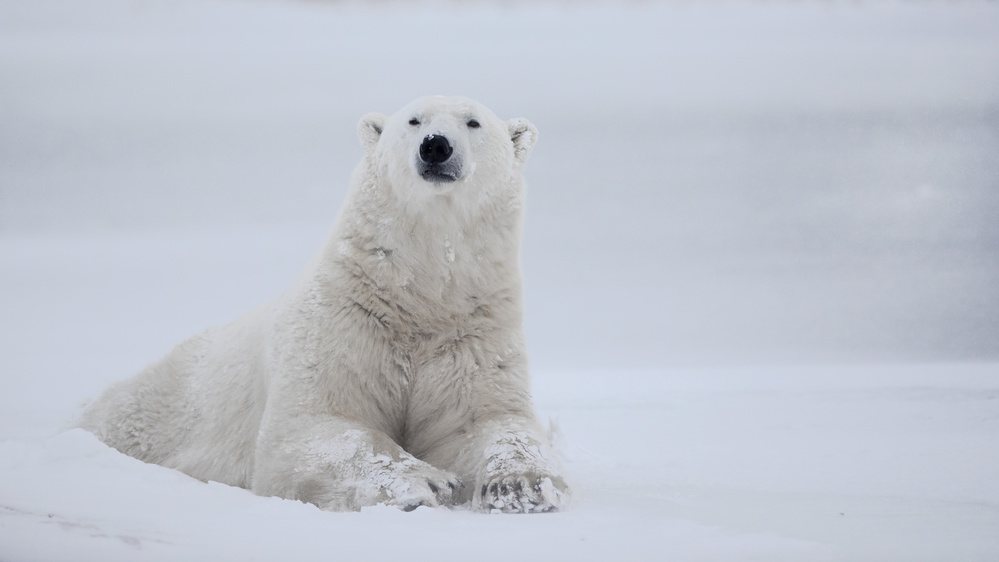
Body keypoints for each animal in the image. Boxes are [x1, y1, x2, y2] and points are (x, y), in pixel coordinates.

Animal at [82, 95, 568, 512]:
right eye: (414, 120)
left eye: (473, 122)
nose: (436, 146)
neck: (418, 299)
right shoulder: (344, 322)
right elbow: (315, 426)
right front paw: (428, 481)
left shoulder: (472, 331)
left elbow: (487, 420)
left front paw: (520, 486)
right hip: (153, 412)